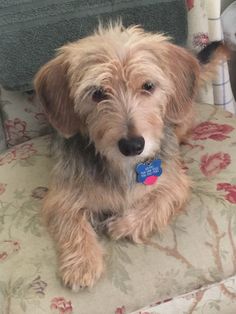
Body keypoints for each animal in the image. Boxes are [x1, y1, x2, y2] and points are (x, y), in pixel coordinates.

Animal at [34, 23, 228, 290]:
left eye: (148, 86)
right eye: (97, 93)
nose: (133, 145)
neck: (123, 167)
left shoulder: (175, 183)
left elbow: (158, 202)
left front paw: (124, 224)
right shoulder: (61, 195)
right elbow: (71, 221)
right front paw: (82, 263)